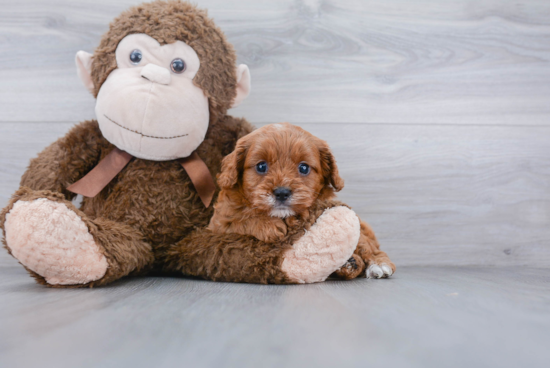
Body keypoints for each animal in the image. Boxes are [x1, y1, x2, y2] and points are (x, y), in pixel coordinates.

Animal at [210, 123, 396, 278]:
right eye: (261, 166)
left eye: (304, 168)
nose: (282, 193)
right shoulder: (218, 224)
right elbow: (239, 219)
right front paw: (269, 226)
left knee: (367, 245)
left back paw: (377, 264)